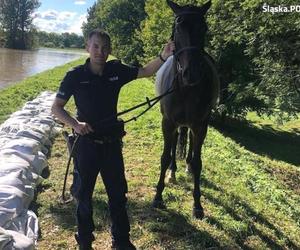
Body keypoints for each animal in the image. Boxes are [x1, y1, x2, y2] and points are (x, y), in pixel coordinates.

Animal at [154, 0, 219, 219]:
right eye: (178, 27)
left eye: (204, 28)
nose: (191, 73)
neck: (185, 89)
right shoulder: (167, 123)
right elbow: (165, 156)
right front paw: (158, 196)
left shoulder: (201, 125)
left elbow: (198, 162)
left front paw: (197, 205)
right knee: (175, 143)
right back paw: (172, 172)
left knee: (188, 140)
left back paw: (187, 167)